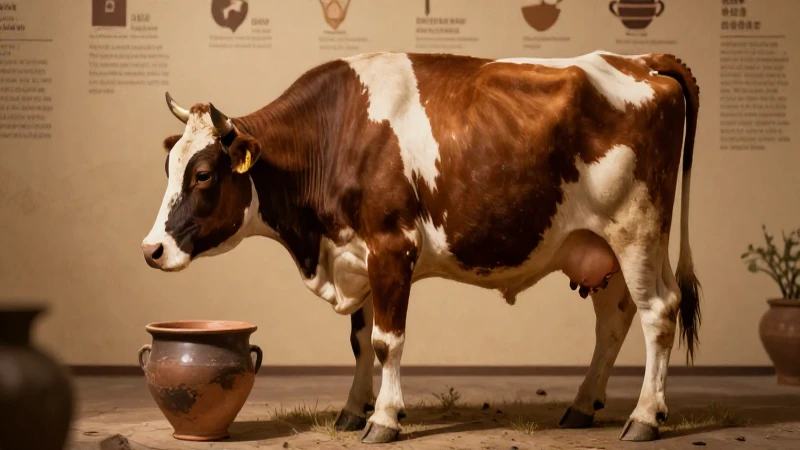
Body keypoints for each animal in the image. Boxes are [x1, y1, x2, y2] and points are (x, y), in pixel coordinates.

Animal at [141, 50, 701, 444]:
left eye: (203, 175)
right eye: (168, 167)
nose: (152, 250)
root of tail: (640, 60)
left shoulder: (392, 247)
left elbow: (387, 341)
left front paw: (384, 419)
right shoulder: (357, 255)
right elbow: (360, 341)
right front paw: (352, 411)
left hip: (637, 230)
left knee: (658, 312)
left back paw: (645, 417)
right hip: (598, 246)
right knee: (615, 320)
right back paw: (584, 406)